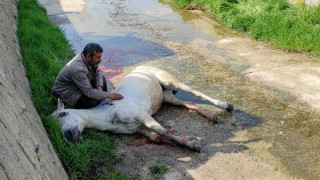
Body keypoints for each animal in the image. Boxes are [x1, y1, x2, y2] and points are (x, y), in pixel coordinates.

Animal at [52, 65, 232, 151]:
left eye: (63, 114)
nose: (70, 136)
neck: (109, 114)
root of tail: (143, 67)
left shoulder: (142, 115)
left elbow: (164, 131)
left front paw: (193, 145)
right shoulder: (138, 128)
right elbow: (156, 138)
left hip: (170, 82)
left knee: (195, 92)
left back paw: (226, 105)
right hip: (167, 97)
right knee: (188, 104)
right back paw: (212, 116)